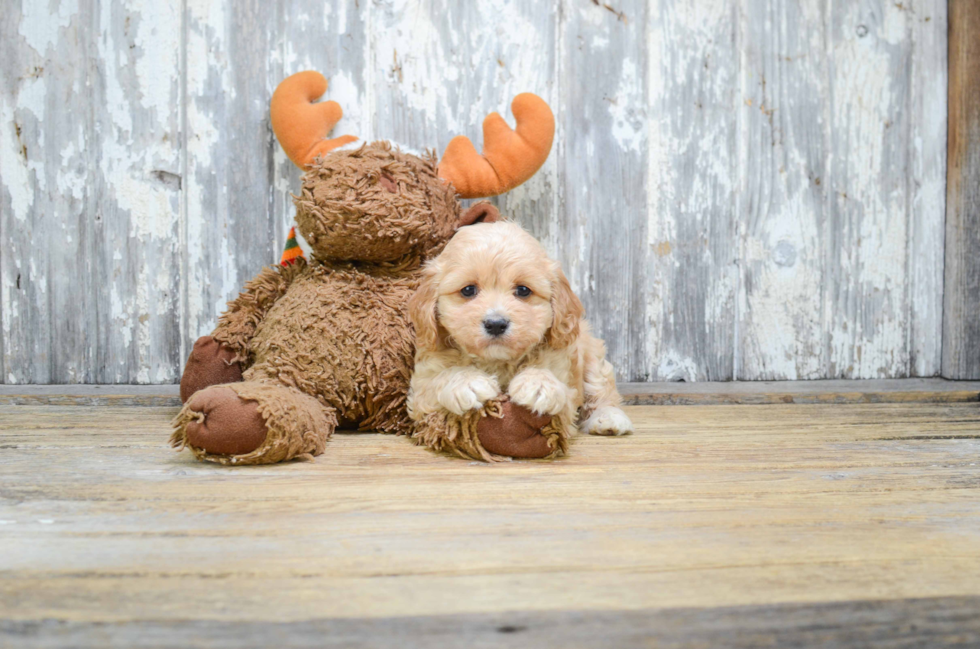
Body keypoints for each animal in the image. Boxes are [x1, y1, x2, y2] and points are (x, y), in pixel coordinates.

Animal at [408, 209, 632, 460]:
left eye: (523, 290)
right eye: (468, 290)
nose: (496, 324)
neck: (498, 361)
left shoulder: (565, 381)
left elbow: (559, 393)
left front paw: (538, 385)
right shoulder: (421, 390)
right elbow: (439, 380)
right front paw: (468, 382)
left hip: (591, 353)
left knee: (601, 389)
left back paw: (609, 418)